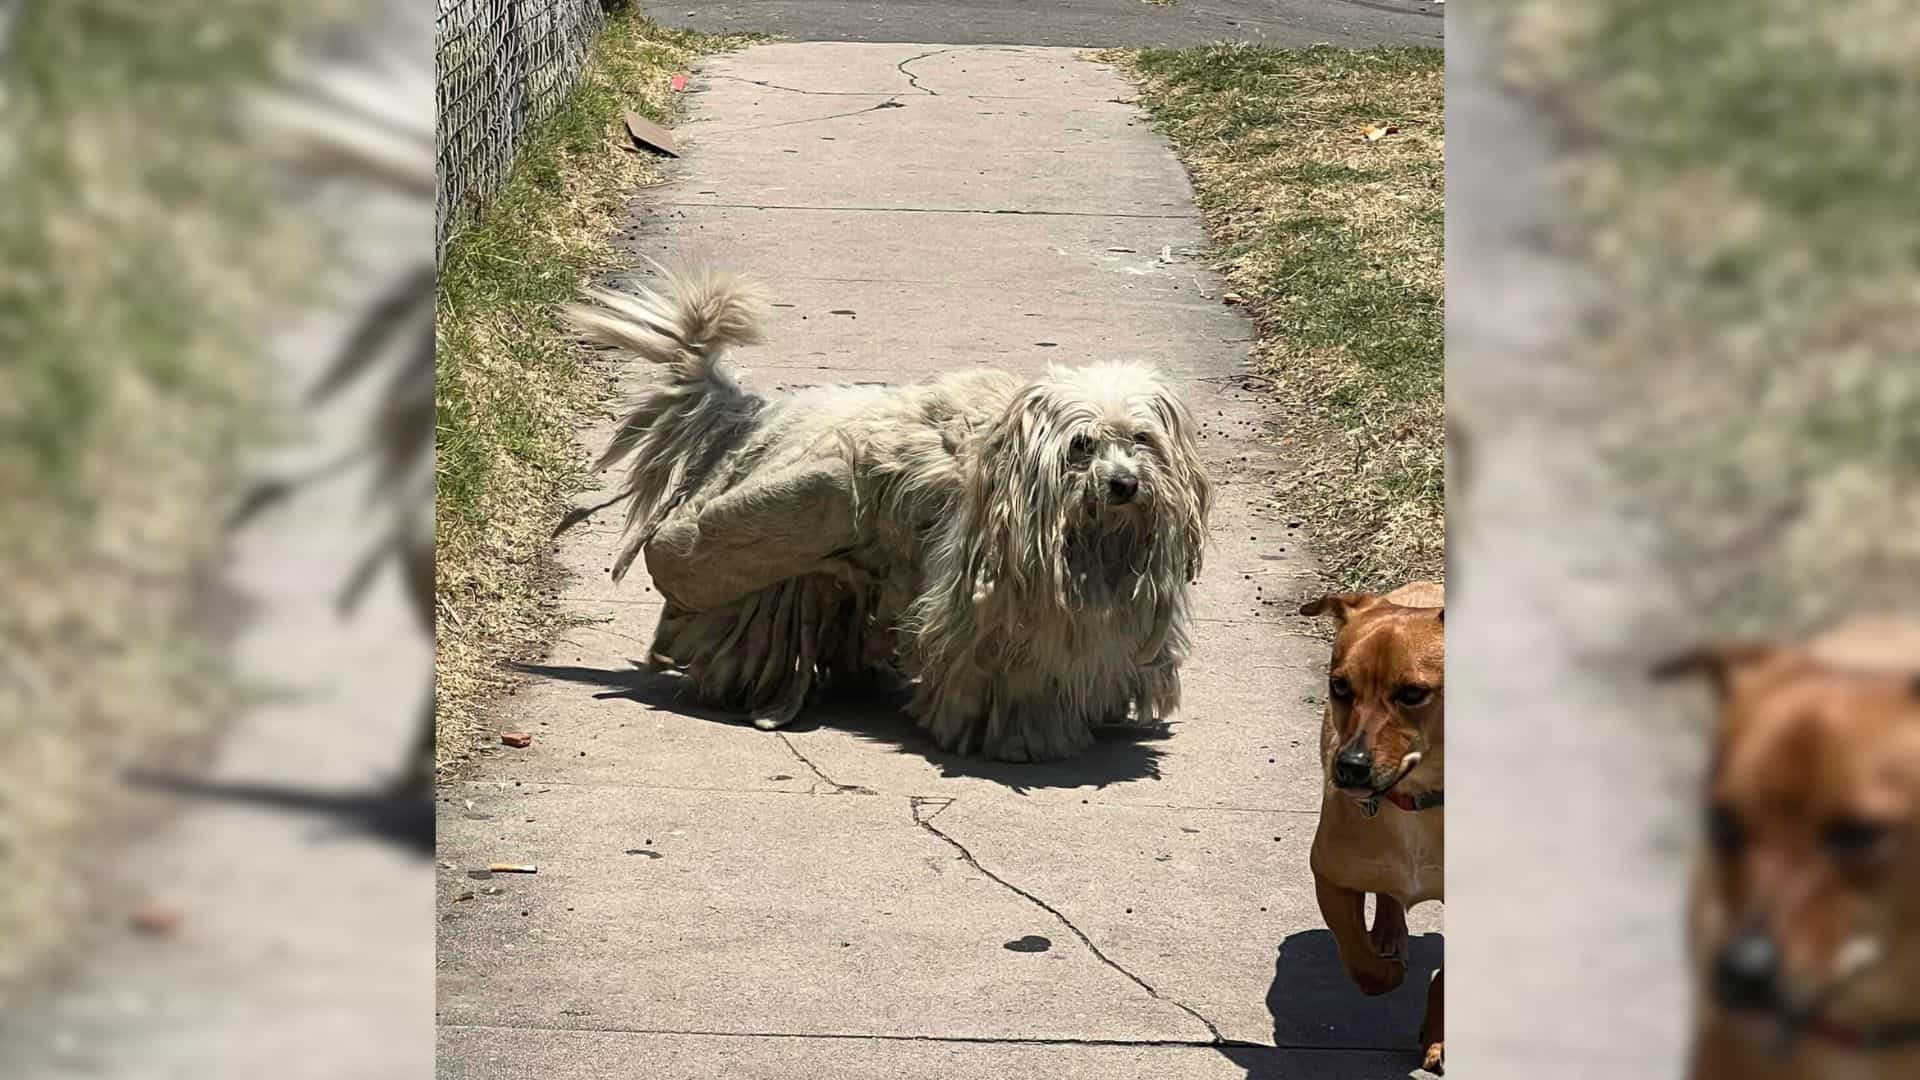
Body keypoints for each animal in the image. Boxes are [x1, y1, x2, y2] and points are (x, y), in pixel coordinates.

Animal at [560, 265, 1213, 760]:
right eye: (1081, 446)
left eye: (1141, 439)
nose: (1123, 485)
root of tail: (759, 414)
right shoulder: (994, 624)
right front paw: (1024, 739)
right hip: (773, 541)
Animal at [1305, 584, 1443, 1068]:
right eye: (1339, 686)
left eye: (1414, 693)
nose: (1349, 766)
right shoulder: (1330, 876)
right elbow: (1361, 963)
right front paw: (1388, 971)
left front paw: (1437, 1038)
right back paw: (1387, 933)